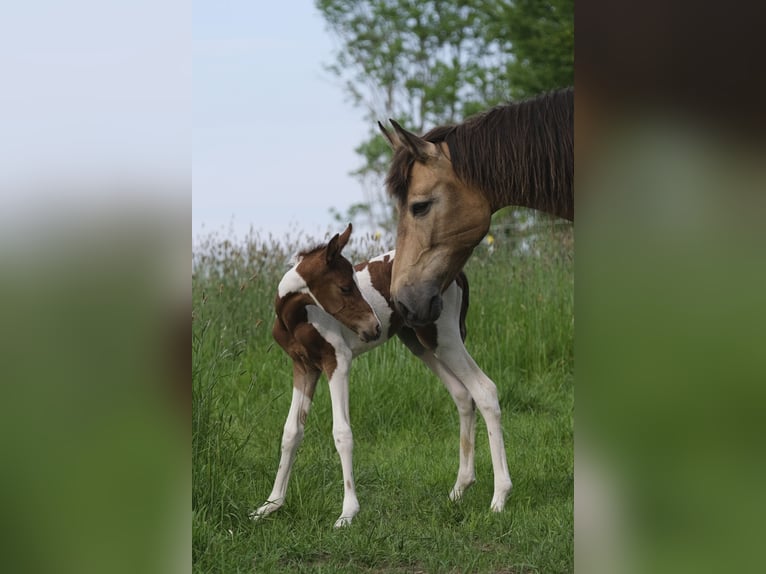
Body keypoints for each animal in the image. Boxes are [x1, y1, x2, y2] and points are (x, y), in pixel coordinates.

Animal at [252, 224, 512, 528]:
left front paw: (348, 513)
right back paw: (459, 489)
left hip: (444, 337)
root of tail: (456, 271)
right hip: (419, 342)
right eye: (345, 287)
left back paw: (499, 498)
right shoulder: (303, 367)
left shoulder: (337, 361)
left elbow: (342, 432)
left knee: (485, 390)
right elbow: (291, 432)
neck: (296, 318)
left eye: (353, 284)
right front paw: (271, 504)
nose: (373, 327)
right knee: (462, 395)